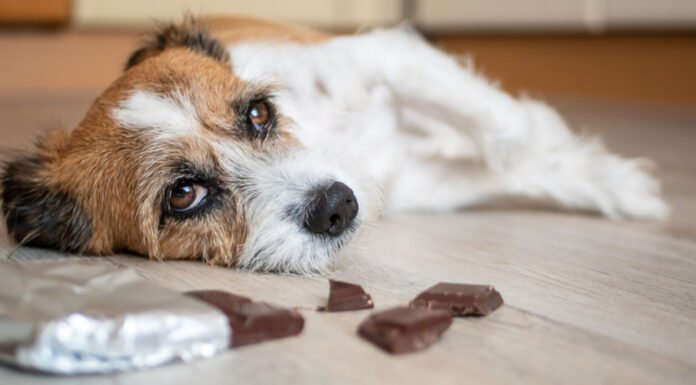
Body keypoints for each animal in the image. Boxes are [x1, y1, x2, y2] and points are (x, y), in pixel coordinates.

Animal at [0, 15, 668, 272]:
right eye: (183, 195)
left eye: (259, 113)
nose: (338, 206)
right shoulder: (420, 184)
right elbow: (509, 162)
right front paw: (607, 180)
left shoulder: (385, 57)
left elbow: (509, 131)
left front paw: (614, 181)